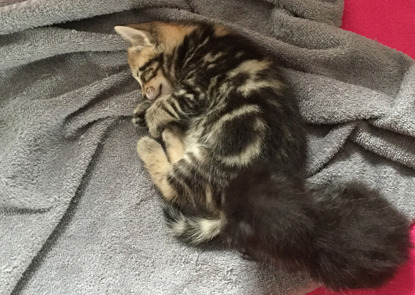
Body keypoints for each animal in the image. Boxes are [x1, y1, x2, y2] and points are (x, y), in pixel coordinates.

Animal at [115, 20, 412, 292]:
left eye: (141, 74)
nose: (143, 92)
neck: (193, 43)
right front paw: (144, 110)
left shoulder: (196, 90)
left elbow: (169, 103)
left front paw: (153, 118)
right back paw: (170, 133)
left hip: (207, 159)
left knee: (171, 184)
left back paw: (154, 142)